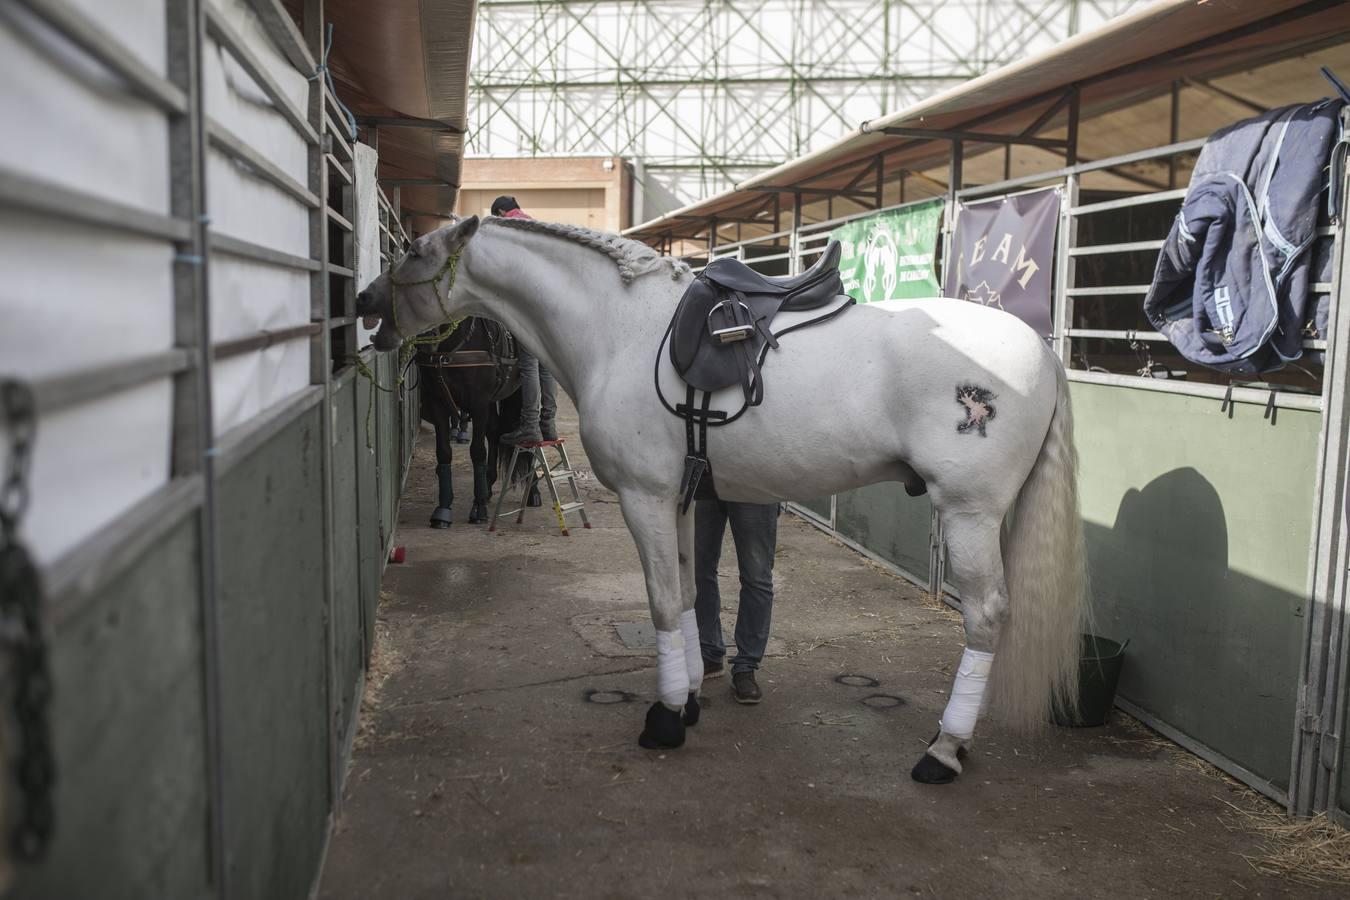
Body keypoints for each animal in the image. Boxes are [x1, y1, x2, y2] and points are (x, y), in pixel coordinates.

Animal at [356, 214, 1085, 782]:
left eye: (415, 251)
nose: (364, 302)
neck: (619, 328)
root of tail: (1041, 351)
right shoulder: (679, 499)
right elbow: (685, 595)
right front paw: (686, 701)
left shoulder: (644, 498)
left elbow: (658, 602)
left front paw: (664, 719)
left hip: (969, 513)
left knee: (986, 616)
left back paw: (944, 749)